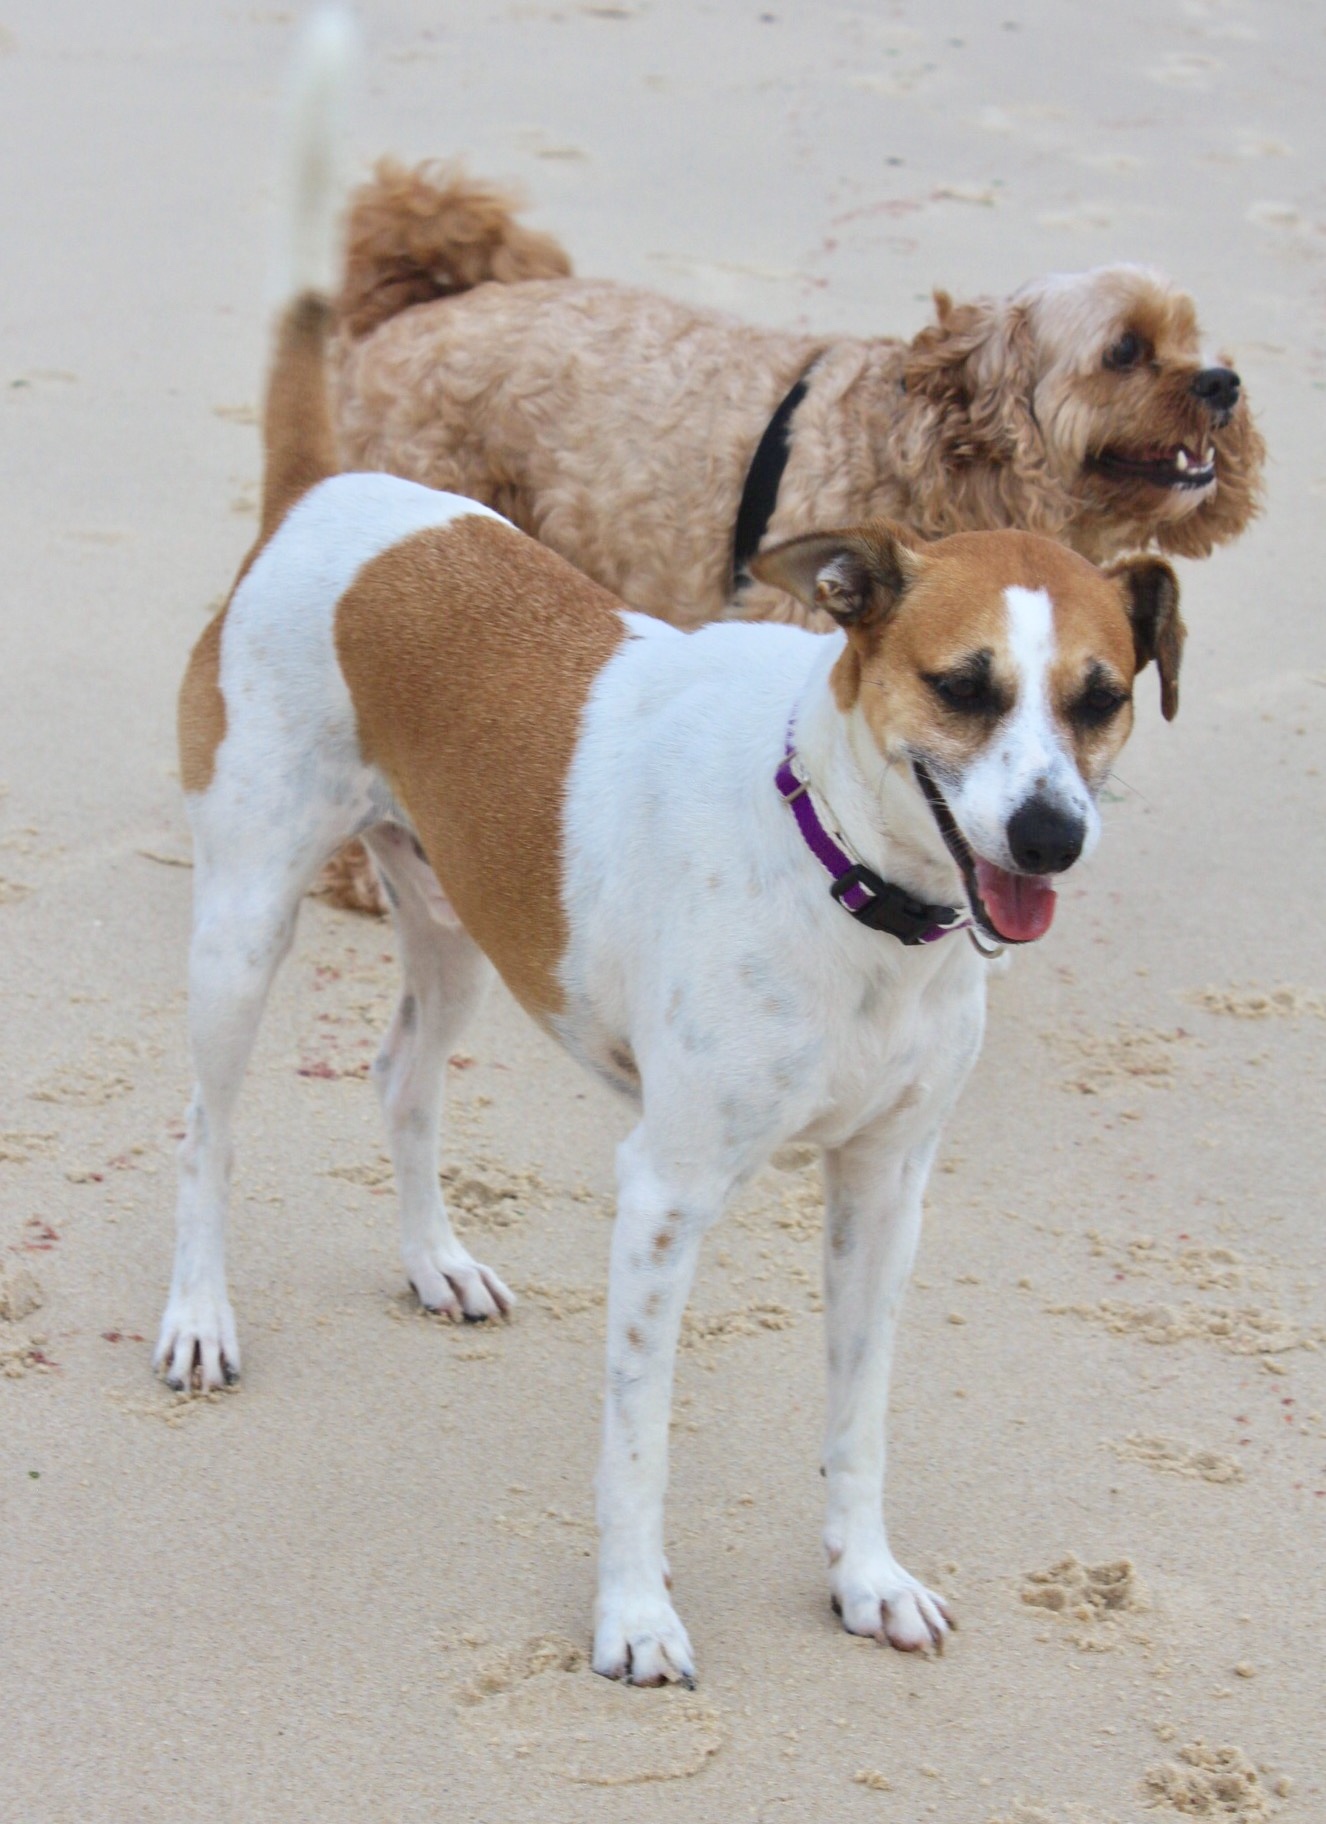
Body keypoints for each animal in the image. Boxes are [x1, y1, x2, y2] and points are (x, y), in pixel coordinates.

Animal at [158, 14, 1185, 1685]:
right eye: (962, 685)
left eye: (1098, 701)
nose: (1047, 833)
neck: (849, 889)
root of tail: (328, 493)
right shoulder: (665, 1193)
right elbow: (635, 1443)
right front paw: (634, 1616)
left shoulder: (884, 1196)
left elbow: (858, 1419)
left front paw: (863, 1579)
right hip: (244, 922)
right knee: (206, 1127)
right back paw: (197, 1317)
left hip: (460, 922)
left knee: (399, 1077)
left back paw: (435, 1260)